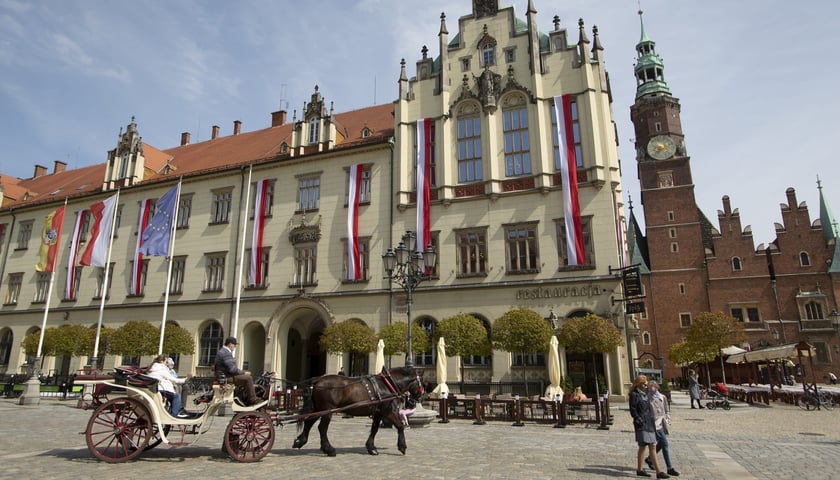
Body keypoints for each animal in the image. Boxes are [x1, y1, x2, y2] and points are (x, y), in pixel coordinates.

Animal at [292, 366, 424, 456]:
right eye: (420, 381)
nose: (421, 396)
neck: (387, 384)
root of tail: (317, 380)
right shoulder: (388, 411)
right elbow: (400, 426)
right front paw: (402, 446)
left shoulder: (378, 413)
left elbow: (374, 429)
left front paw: (371, 447)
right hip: (327, 410)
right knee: (322, 428)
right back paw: (329, 449)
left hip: (319, 408)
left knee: (309, 422)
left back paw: (300, 441)